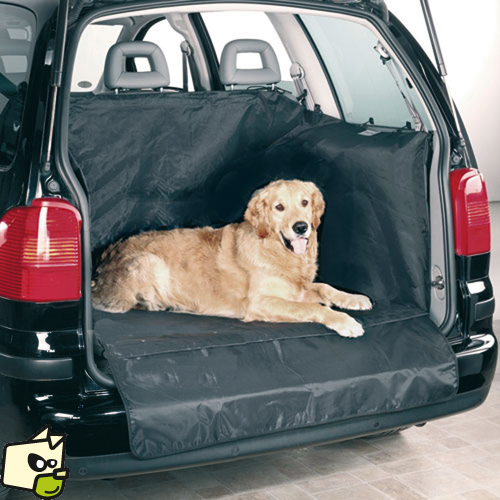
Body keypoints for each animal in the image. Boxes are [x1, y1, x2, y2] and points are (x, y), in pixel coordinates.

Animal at [92, 179, 372, 337]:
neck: (274, 249)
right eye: (279, 207)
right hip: (149, 262)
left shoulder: (298, 288)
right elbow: (314, 307)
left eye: (304, 202)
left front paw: (354, 299)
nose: (301, 227)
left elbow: (324, 288)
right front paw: (345, 322)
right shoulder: (260, 302)